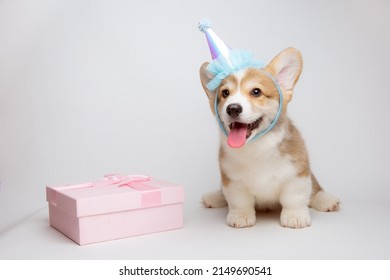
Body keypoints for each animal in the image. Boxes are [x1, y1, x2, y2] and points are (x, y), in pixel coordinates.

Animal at [200, 47, 340, 228]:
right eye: (225, 93)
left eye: (256, 92)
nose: (232, 108)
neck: (257, 146)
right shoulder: (231, 180)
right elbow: (239, 201)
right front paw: (240, 216)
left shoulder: (297, 174)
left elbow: (294, 198)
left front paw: (295, 216)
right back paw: (214, 197)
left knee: (315, 189)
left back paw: (327, 200)